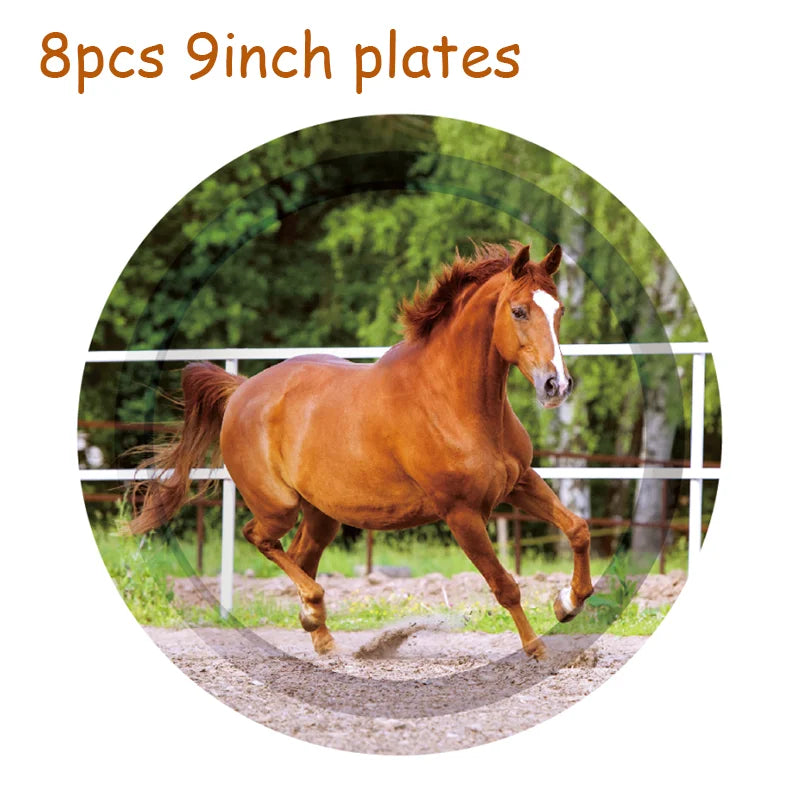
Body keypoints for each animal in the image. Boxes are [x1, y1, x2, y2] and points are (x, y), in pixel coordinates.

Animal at [130, 242, 594, 658]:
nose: (556, 385)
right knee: (258, 538)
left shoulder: (519, 483)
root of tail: (242, 390)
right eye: (519, 311)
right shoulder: (461, 513)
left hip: (322, 514)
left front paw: (567, 603)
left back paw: (321, 634)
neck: (456, 403)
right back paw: (315, 608)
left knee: (300, 554)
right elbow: (505, 585)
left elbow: (578, 528)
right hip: (279, 506)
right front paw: (536, 648)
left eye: (559, 310)